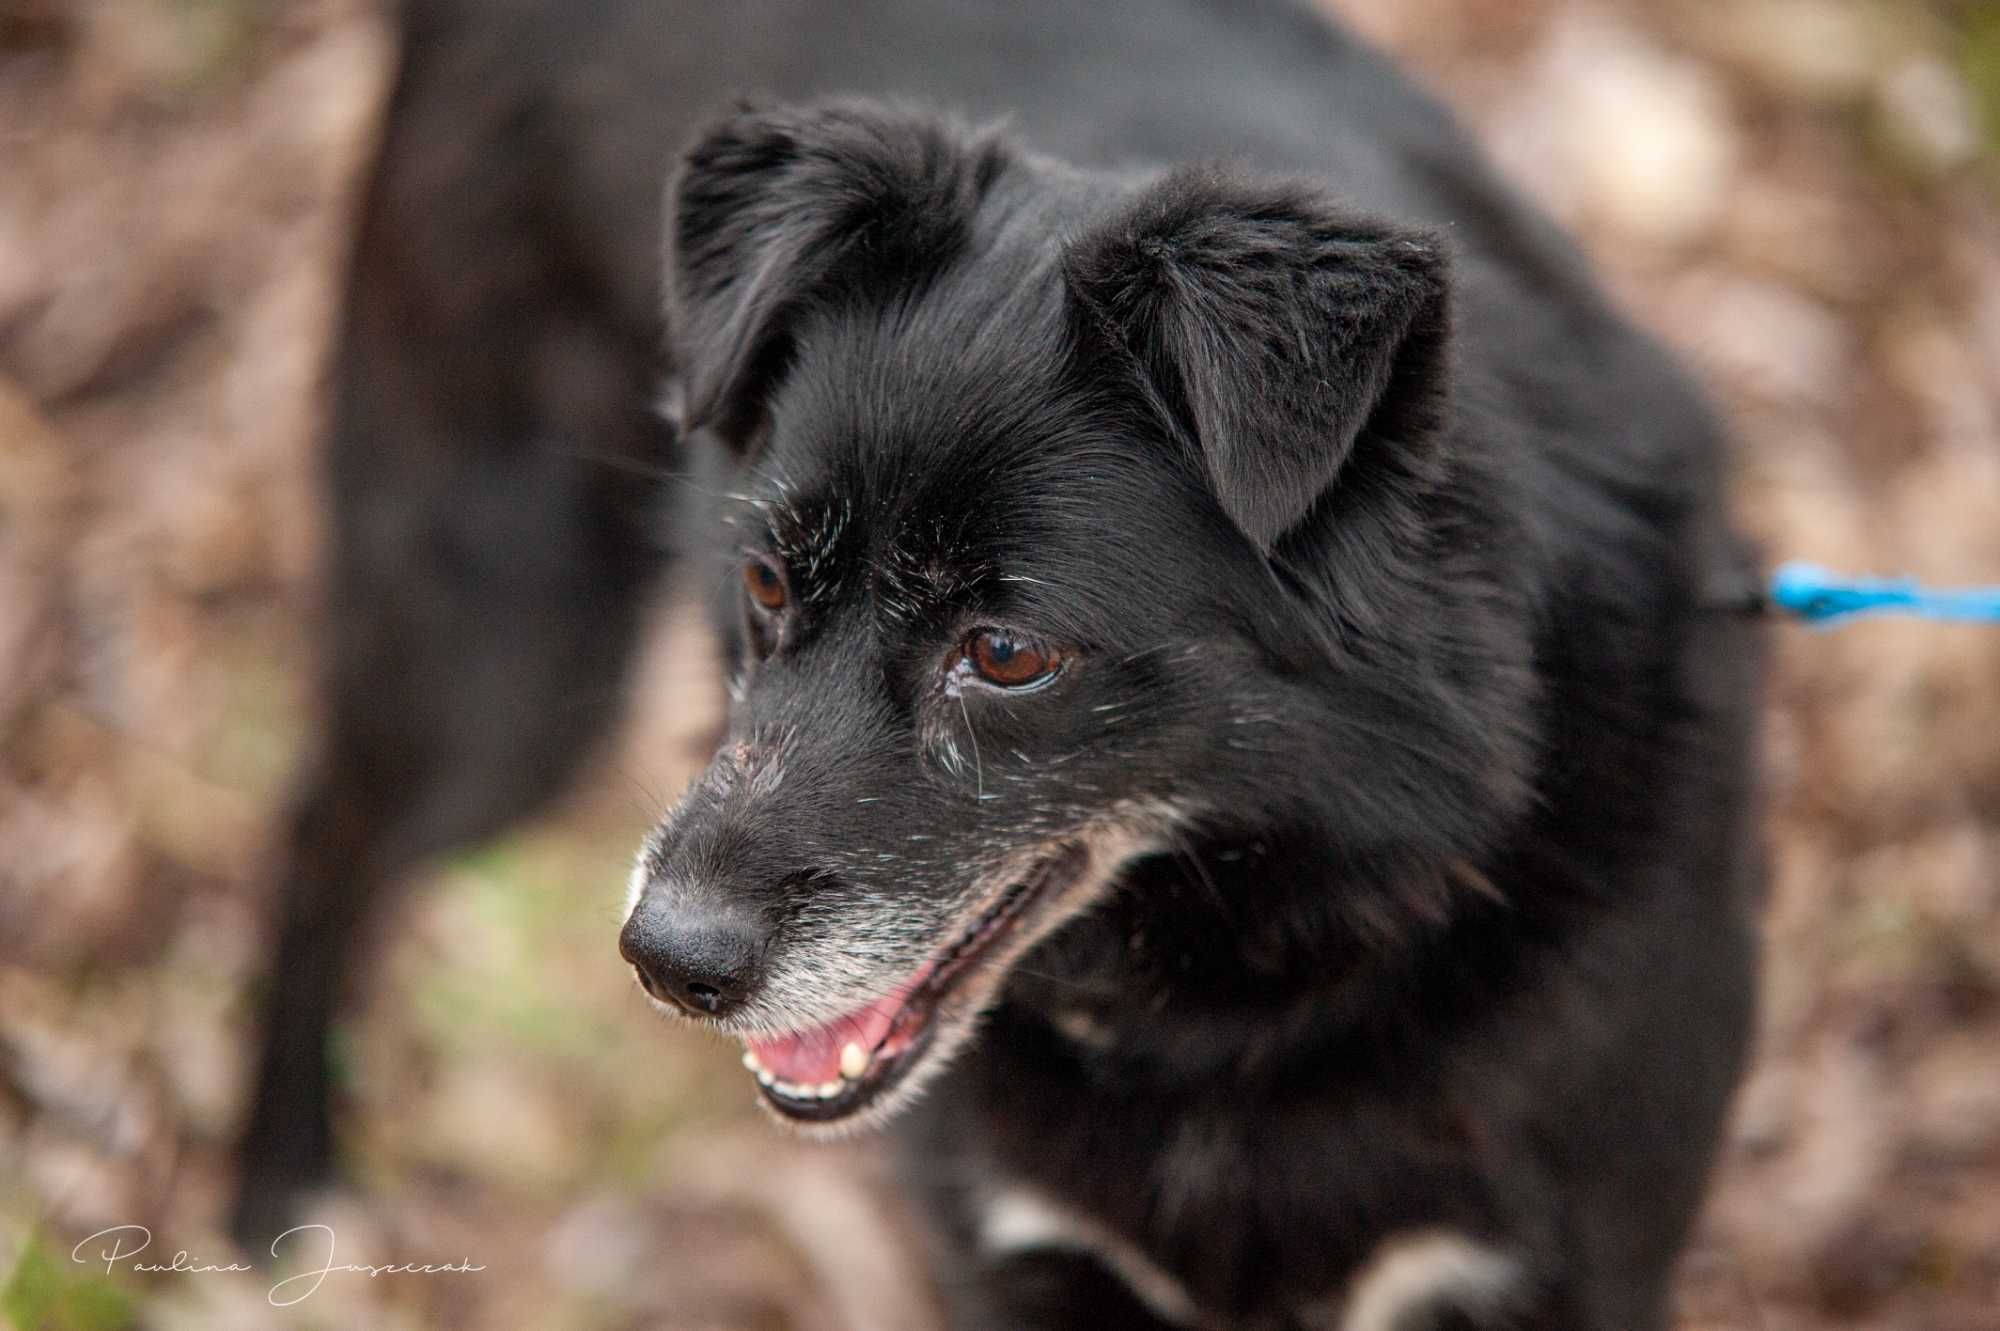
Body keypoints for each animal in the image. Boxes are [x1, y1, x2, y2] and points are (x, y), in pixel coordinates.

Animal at [238, 0, 1768, 1319]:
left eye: (1008, 651)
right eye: (763, 579)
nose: (668, 962)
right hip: (490, 650)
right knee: (324, 828)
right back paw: (278, 1179)